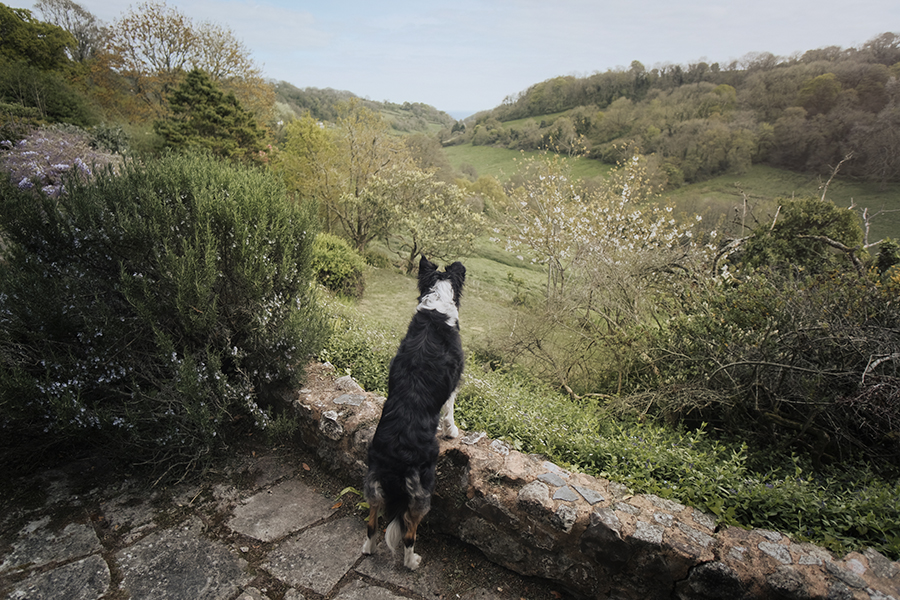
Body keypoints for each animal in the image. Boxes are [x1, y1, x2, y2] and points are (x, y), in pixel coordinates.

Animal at [362, 255, 468, 568]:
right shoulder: (454, 382)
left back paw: (368, 549)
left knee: (372, 523)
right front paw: (452, 431)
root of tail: (398, 455)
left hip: (373, 480)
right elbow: (449, 411)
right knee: (409, 531)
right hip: (424, 486)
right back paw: (412, 562)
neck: (437, 307)